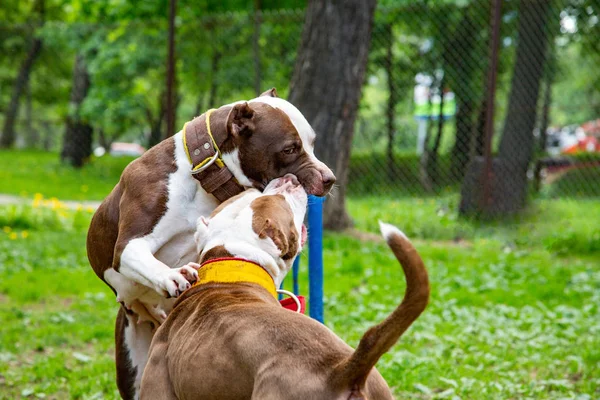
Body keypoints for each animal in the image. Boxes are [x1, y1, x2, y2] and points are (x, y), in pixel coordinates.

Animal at [86, 89, 336, 398]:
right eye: (290, 148)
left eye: (312, 143)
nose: (329, 179)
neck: (201, 178)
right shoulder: (127, 246)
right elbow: (143, 257)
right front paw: (172, 276)